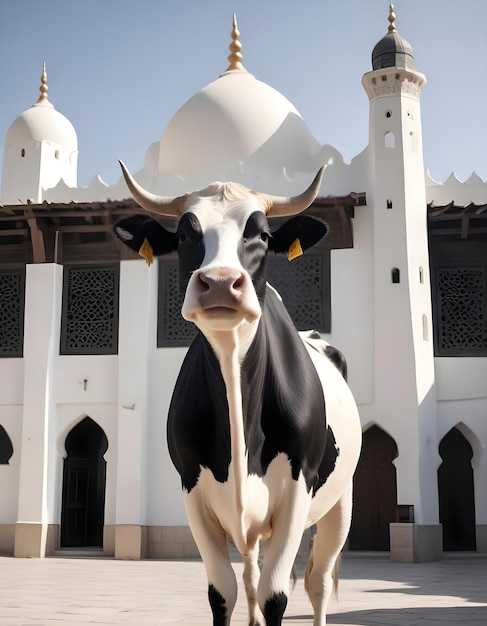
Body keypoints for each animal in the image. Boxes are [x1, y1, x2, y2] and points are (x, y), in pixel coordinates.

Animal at [114, 162, 362, 624]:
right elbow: (224, 592)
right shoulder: (191, 487)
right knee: (250, 577)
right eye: (183, 235)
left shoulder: (299, 485)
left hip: (340, 501)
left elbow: (275, 595)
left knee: (317, 581)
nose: (219, 282)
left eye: (261, 235)